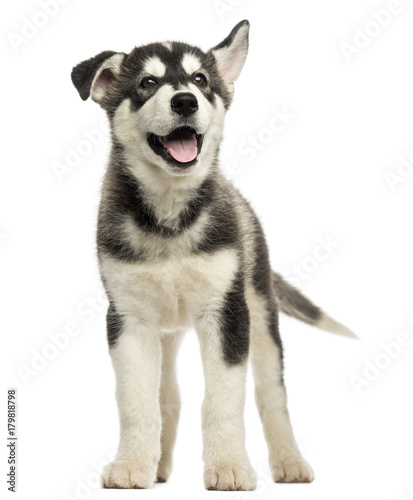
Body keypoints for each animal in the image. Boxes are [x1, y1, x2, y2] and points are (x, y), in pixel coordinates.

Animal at [71, 20, 354, 492]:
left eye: (201, 80)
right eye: (147, 83)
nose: (185, 100)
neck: (169, 217)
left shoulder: (227, 315)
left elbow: (223, 399)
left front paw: (229, 467)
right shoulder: (127, 319)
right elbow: (136, 401)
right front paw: (131, 465)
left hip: (261, 312)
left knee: (272, 395)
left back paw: (290, 461)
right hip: (166, 332)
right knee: (167, 395)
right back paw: (158, 466)